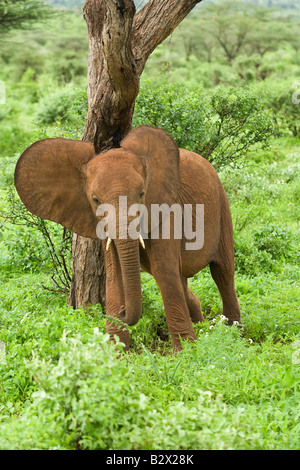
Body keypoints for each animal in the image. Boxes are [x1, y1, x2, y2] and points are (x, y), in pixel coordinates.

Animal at [14, 126, 241, 352]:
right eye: (95, 200)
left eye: (141, 194)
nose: (122, 311)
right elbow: (114, 274)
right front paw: (115, 353)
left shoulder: (165, 210)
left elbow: (164, 270)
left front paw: (186, 352)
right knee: (183, 279)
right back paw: (202, 326)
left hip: (222, 205)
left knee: (222, 272)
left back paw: (234, 333)